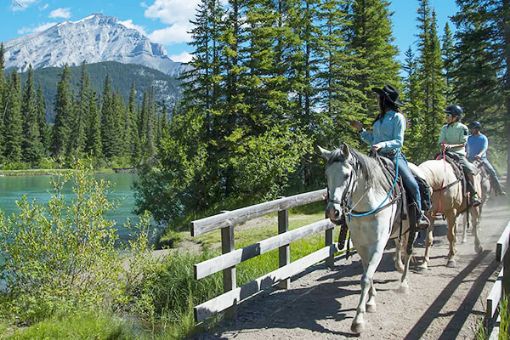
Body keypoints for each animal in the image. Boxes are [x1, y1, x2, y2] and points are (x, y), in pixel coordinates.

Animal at [322, 145, 414, 334]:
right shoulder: (361, 244)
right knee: (399, 246)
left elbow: (365, 278)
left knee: (408, 251)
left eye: (346, 175)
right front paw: (371, 301)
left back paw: (403, 283)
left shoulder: (378, 245)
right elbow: (368, 273)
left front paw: (358, 320)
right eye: (326, 175)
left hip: (412, 227)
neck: (368, 206)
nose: (332, 212)